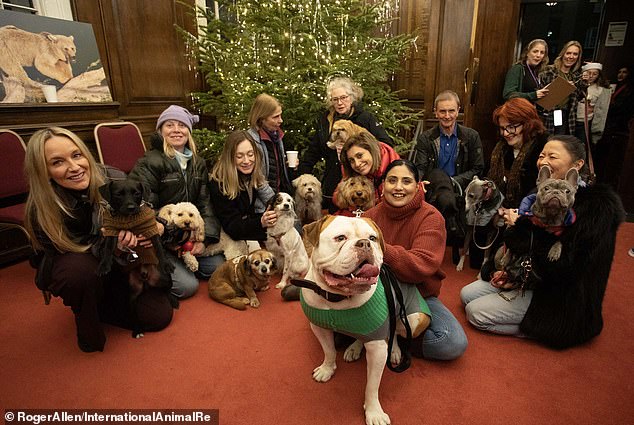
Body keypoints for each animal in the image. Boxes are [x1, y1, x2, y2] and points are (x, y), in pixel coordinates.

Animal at [95, 177, 173, 336]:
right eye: (118, 194)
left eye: (137, 193)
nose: (131, 207)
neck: (128, 219)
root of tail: (145, 277)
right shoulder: (111, 232)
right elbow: (107, 249)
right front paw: (104, 266)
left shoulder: (151, 229)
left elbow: (159, 248)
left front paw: (166, 263)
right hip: (130, 296)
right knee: (133, 313)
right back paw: (137, 330)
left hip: (164, 279)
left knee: (167, 290)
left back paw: (172, 300)